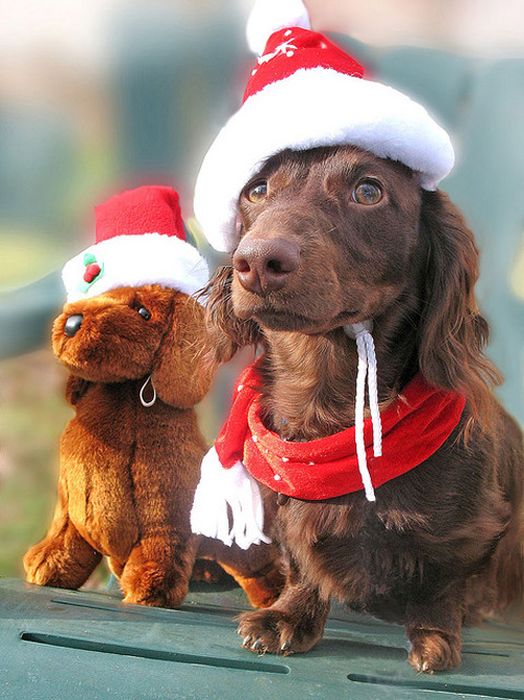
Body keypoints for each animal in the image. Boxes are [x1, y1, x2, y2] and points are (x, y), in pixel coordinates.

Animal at [202, 146, 524, 672]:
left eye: (368, 191)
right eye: (257, 189)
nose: (258, 261)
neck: (326, 412)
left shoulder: (469, 532)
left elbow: (441, 586)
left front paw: (435, 639)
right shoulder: (285, 510)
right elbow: (302, 566)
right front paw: (289, 617)